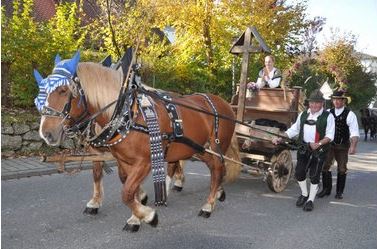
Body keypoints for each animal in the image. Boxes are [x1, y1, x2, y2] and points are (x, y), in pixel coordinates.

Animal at [37, 60, 238, 231]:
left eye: (64, 91)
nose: (46, 133)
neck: (126, 114)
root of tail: (225, 103)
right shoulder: (123, 160)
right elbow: (125, 186)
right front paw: (136, 215)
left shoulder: (144, 162)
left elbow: (126, 192)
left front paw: (148, 215)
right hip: (198, 148)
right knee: (211, 168)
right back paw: (215, 193)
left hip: (215, 145)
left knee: (217, 169)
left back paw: (208, 205)